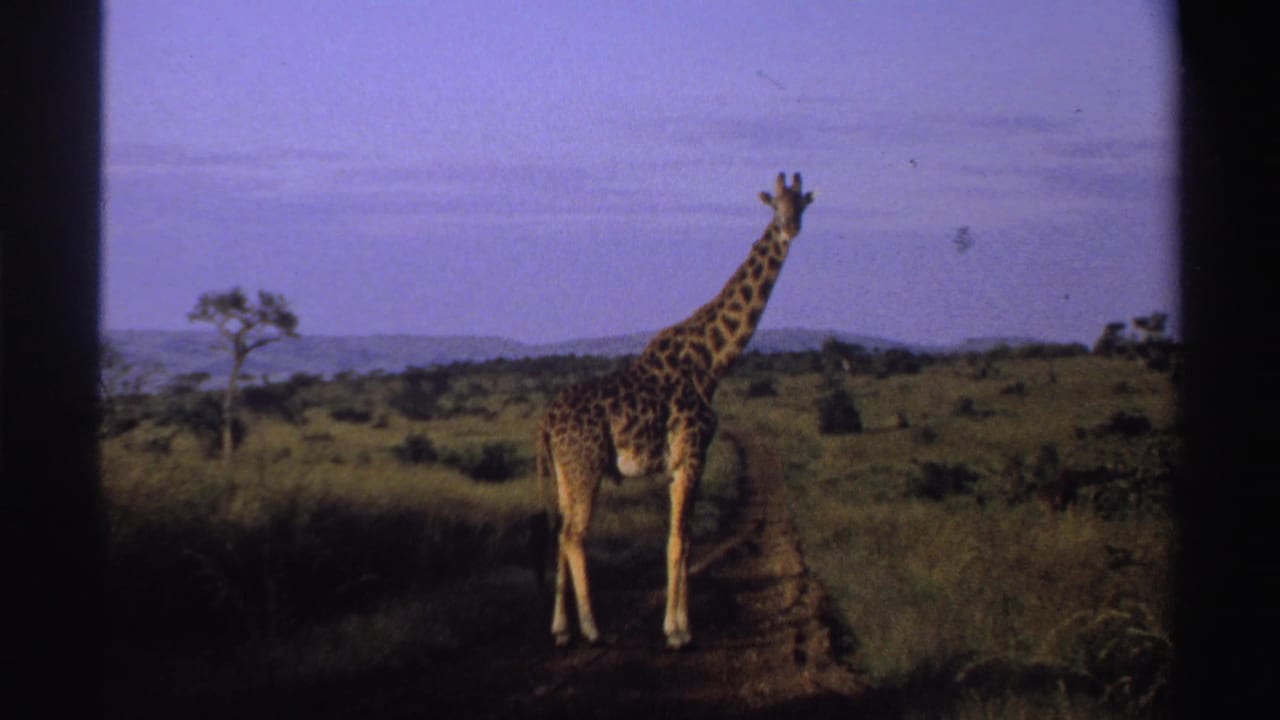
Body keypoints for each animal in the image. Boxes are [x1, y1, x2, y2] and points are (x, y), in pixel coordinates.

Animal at [536, 172, 814, 649]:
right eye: (775, 206)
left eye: (801, 205)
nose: (790, 228)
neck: (712, 361)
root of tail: (547, 421)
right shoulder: (690, 454)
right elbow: (678, 541)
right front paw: (677, 631)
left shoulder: (684, 462)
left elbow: (686, 539)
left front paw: (683, 624)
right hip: (586, 467)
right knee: (573, 535)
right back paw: (592, 629)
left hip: (564, 473)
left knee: (559, 533)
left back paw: (560, 629)